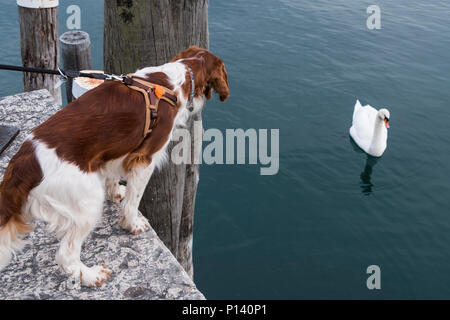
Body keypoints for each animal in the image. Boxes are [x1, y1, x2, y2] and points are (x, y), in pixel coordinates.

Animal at [0, 46, 230, 286]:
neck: (178, 78)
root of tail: (22, 164)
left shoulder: (112, 152)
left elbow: (112, 177)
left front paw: (116, 192)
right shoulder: (144, 158)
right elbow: (133, 200)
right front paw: (132, 224)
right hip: (87, 201)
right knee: (66, 255)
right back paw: (91, 276)